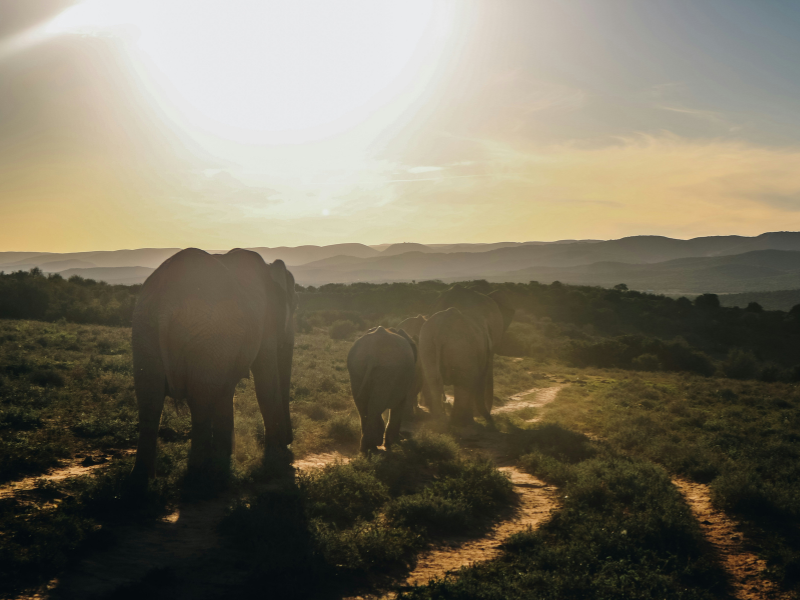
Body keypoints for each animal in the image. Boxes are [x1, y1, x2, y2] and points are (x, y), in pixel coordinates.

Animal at [130, 248, 297, 481]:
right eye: (295, 306)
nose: (291, 444)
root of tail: (165, 302)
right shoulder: (266, 323)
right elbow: (265, 381)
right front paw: (278, 458)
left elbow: (226, 390)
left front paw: (226, 456)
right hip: (207, 333)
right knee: (199, 402)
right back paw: (199, 476)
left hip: (145, 329)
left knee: (149, 400)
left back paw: (143, 479)